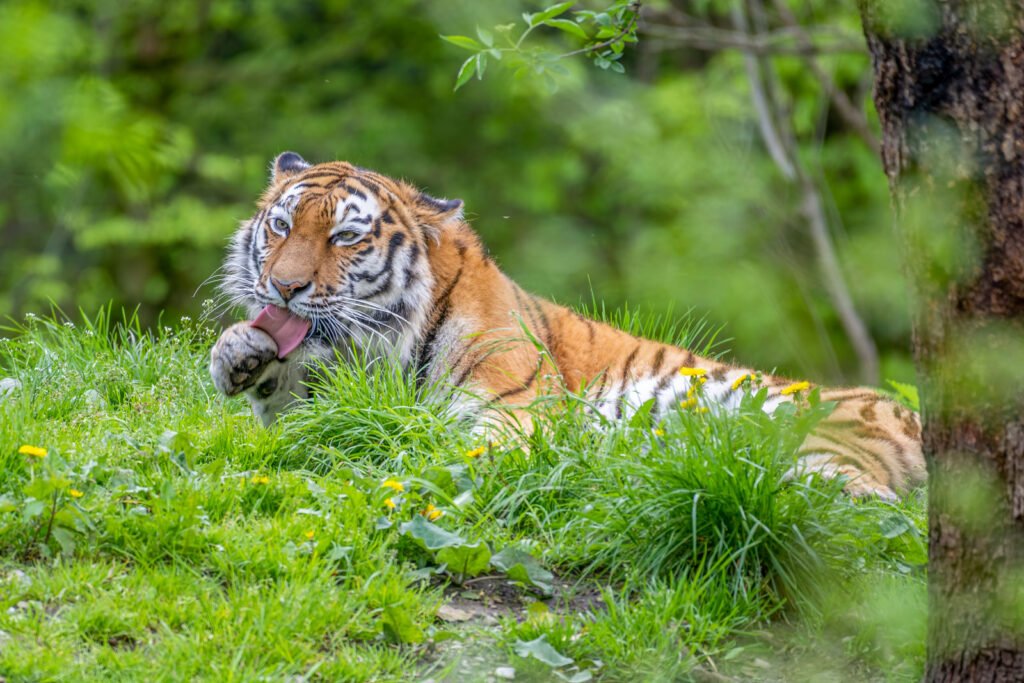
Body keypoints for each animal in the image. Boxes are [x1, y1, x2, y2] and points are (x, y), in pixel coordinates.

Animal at [209, 152, 926, 501]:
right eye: (282, 226)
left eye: (345, 237)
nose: (283, 287)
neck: (380, 346)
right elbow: (281, 393)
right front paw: (242, 351)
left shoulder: (515, 407)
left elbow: (466, 447)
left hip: (816, 431)